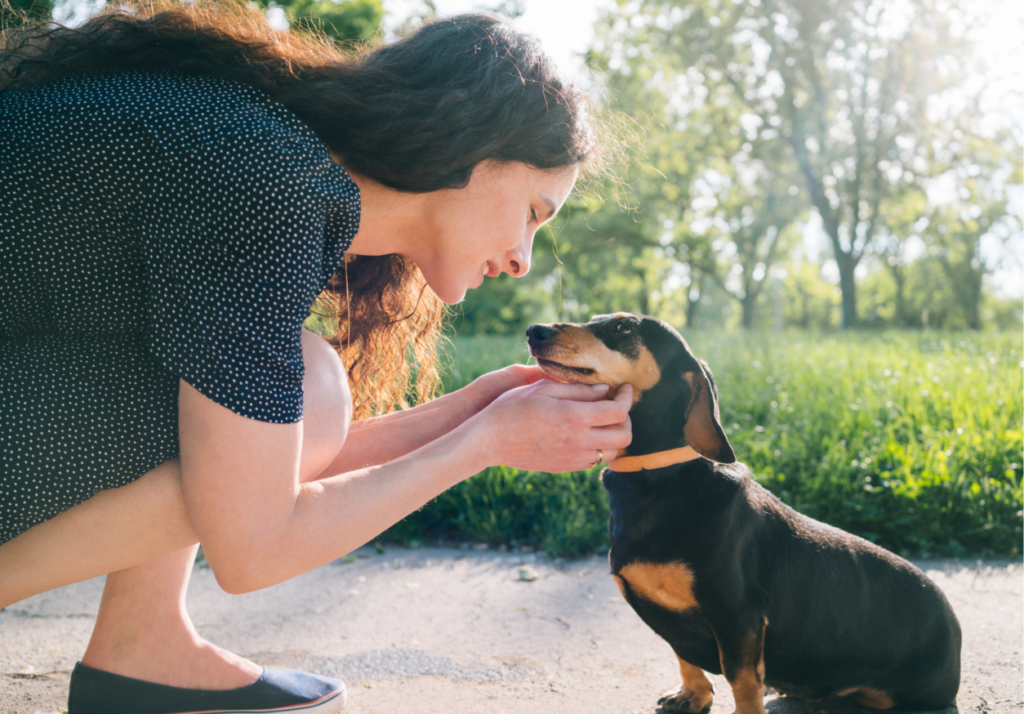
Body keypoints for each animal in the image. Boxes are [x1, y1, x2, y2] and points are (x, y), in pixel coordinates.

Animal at [528, 313, 958, 712]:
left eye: (622, 328)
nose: (535, 331)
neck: (657, 477)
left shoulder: (737, 615)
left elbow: (742, 679)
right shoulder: (678, 622)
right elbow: (684, 656)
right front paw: (693, 694)